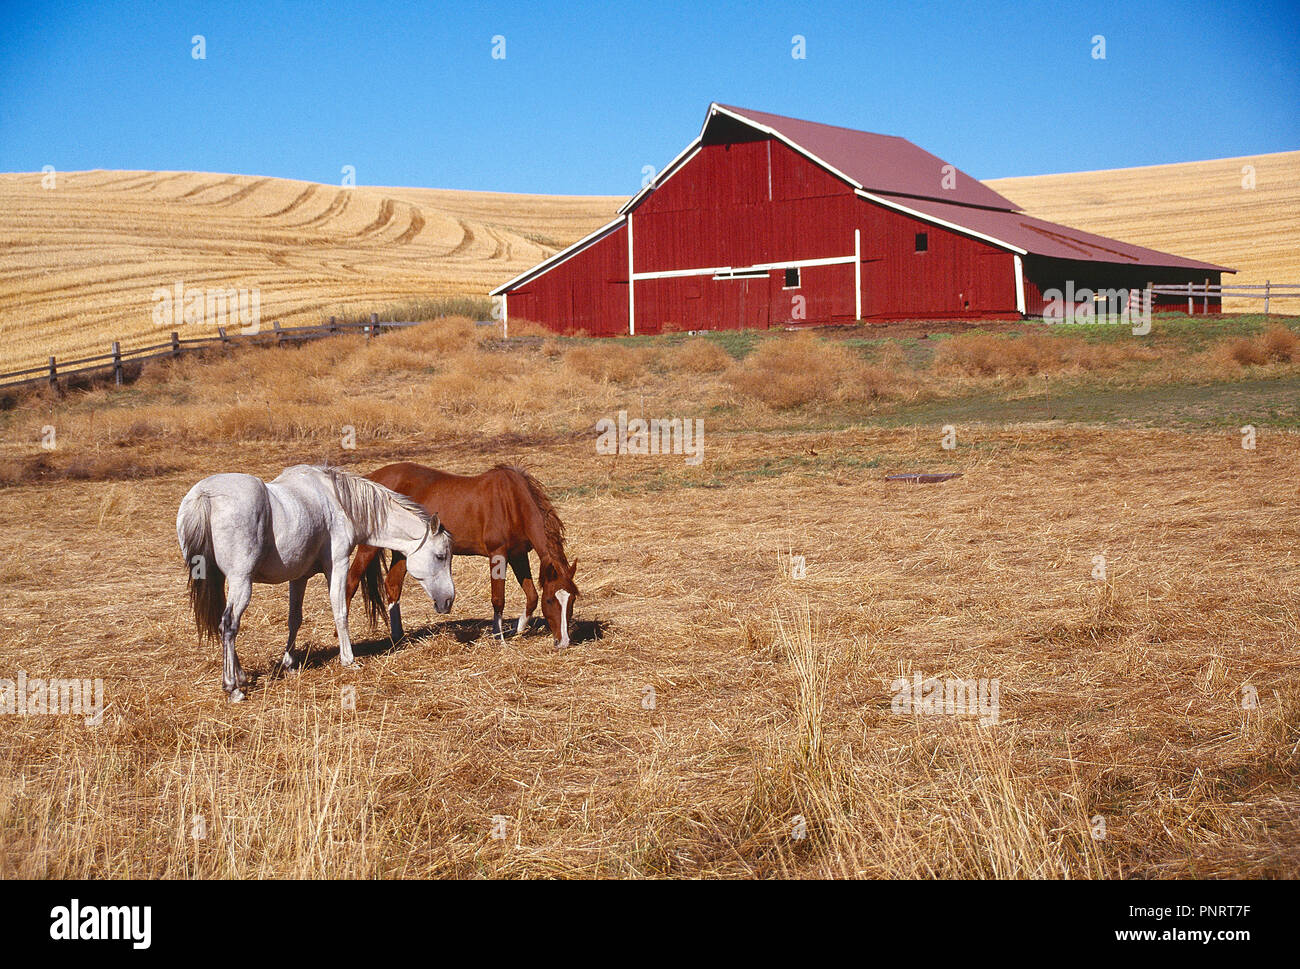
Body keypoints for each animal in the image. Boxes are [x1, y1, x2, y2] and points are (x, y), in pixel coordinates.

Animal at [178, 463, 452, 697]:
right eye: (440, 556)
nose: (448, 600)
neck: (337, 502)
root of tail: (205, 495)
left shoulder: (299, 577)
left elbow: (294, 619)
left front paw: (289, 663)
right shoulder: (338, 565)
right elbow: (340, 611)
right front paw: (349, 660)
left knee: (224, 623)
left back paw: (241, 676)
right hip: (241, 582)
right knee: (229, 624)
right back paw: (233, 687)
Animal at [345, 465, 579, 645]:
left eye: (572, 599)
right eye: (551, 600)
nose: (564, 641)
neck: (512, 501)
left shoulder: (518, 555)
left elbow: (531, 596)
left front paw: (517, 629)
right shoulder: (498, 554)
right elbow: (498, 599)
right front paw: (499, 637)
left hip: (402, 551)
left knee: (393, 585)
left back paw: (398, 637)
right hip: (369, 548)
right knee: (350, 583)